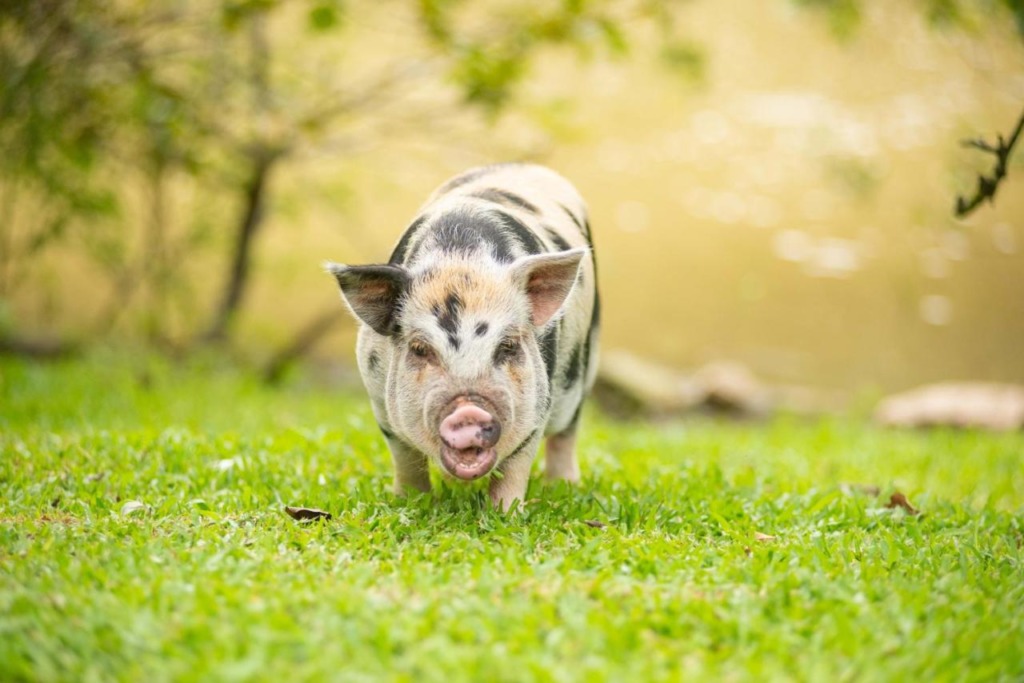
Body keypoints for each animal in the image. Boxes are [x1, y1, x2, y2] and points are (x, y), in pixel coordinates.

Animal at [325, 162, 598, 509]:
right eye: (419, 348)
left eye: (508, 345)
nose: (469, 411)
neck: (461, 258)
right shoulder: (380, 403)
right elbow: (406, 460)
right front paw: (410, 502)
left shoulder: (537, 406)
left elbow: (515, 469)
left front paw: (505, 512)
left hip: (583, 371)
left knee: (566, 432)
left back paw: (564, 486)